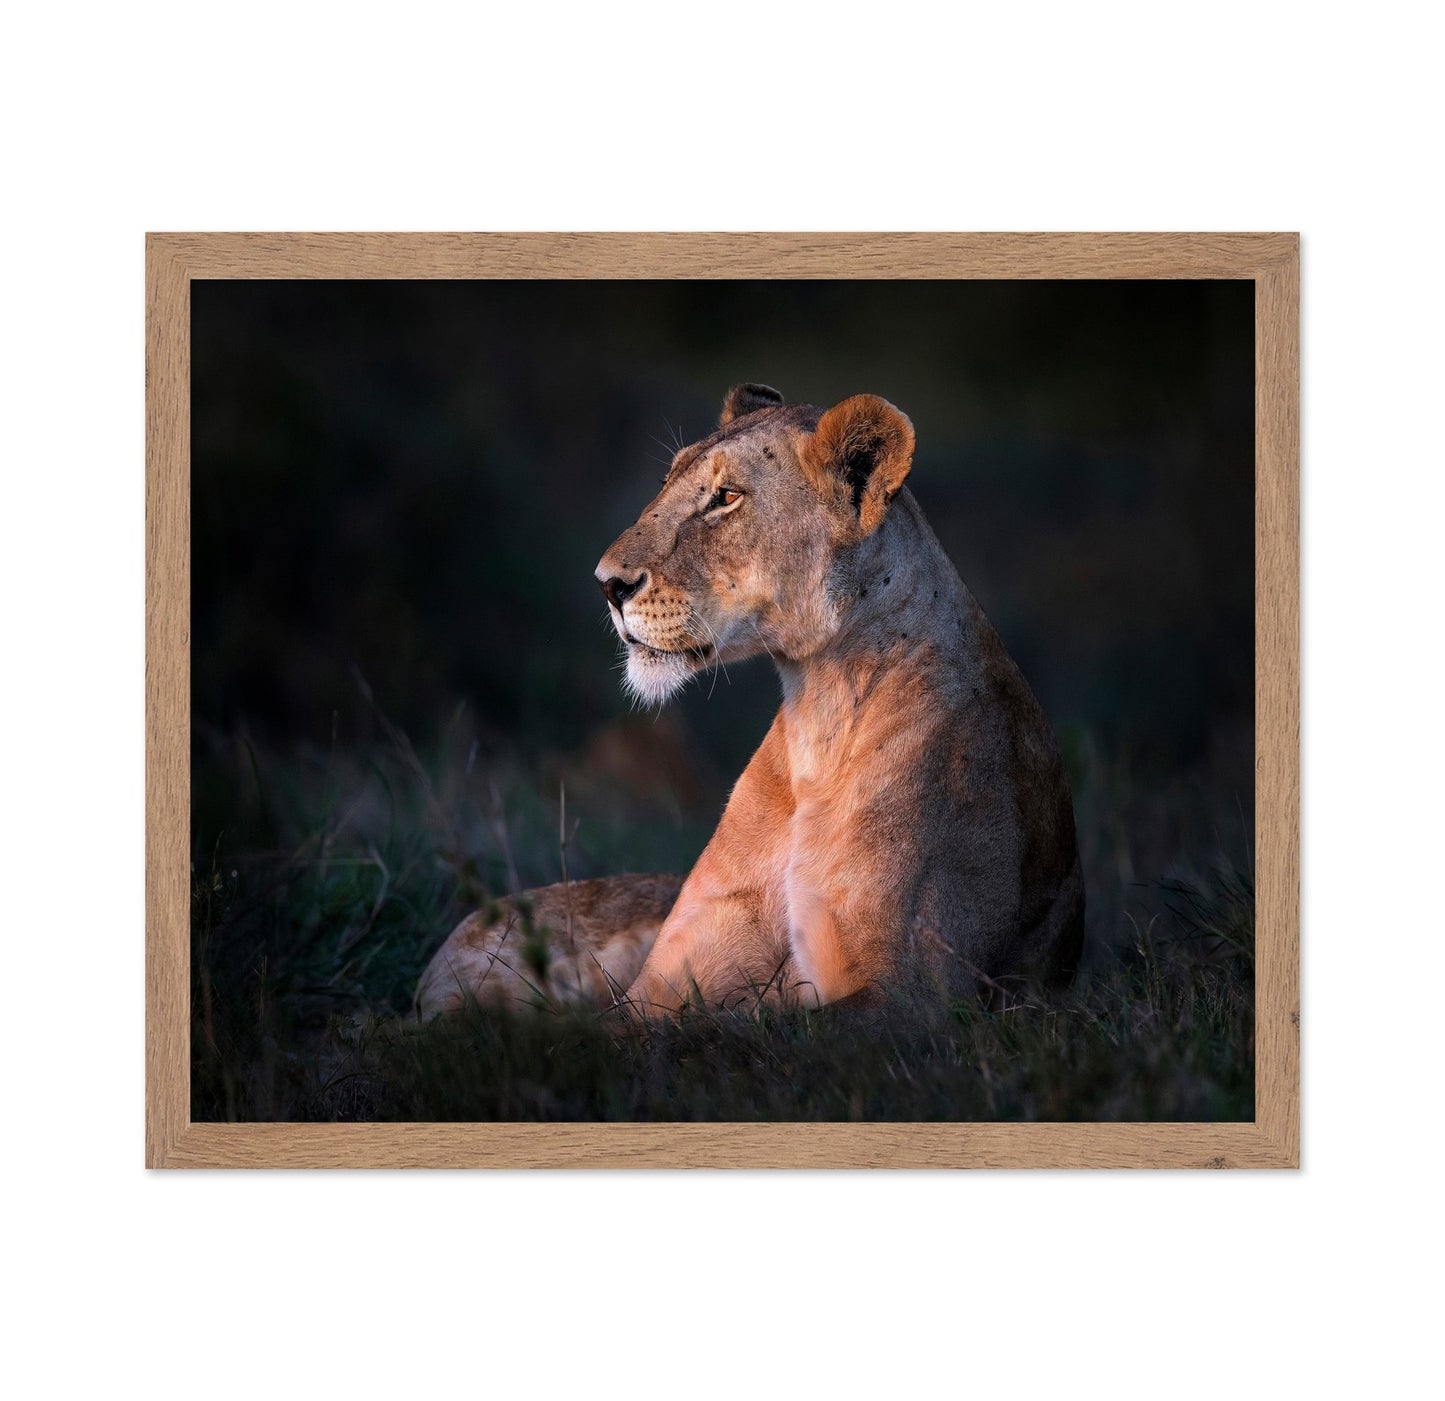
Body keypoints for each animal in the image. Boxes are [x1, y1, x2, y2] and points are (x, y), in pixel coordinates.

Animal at [415, 384, 1084, 1019]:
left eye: (726, 498)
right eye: (667, 483)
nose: (607, 584)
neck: (819, 716)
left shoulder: (916, 996)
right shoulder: (658, 985)